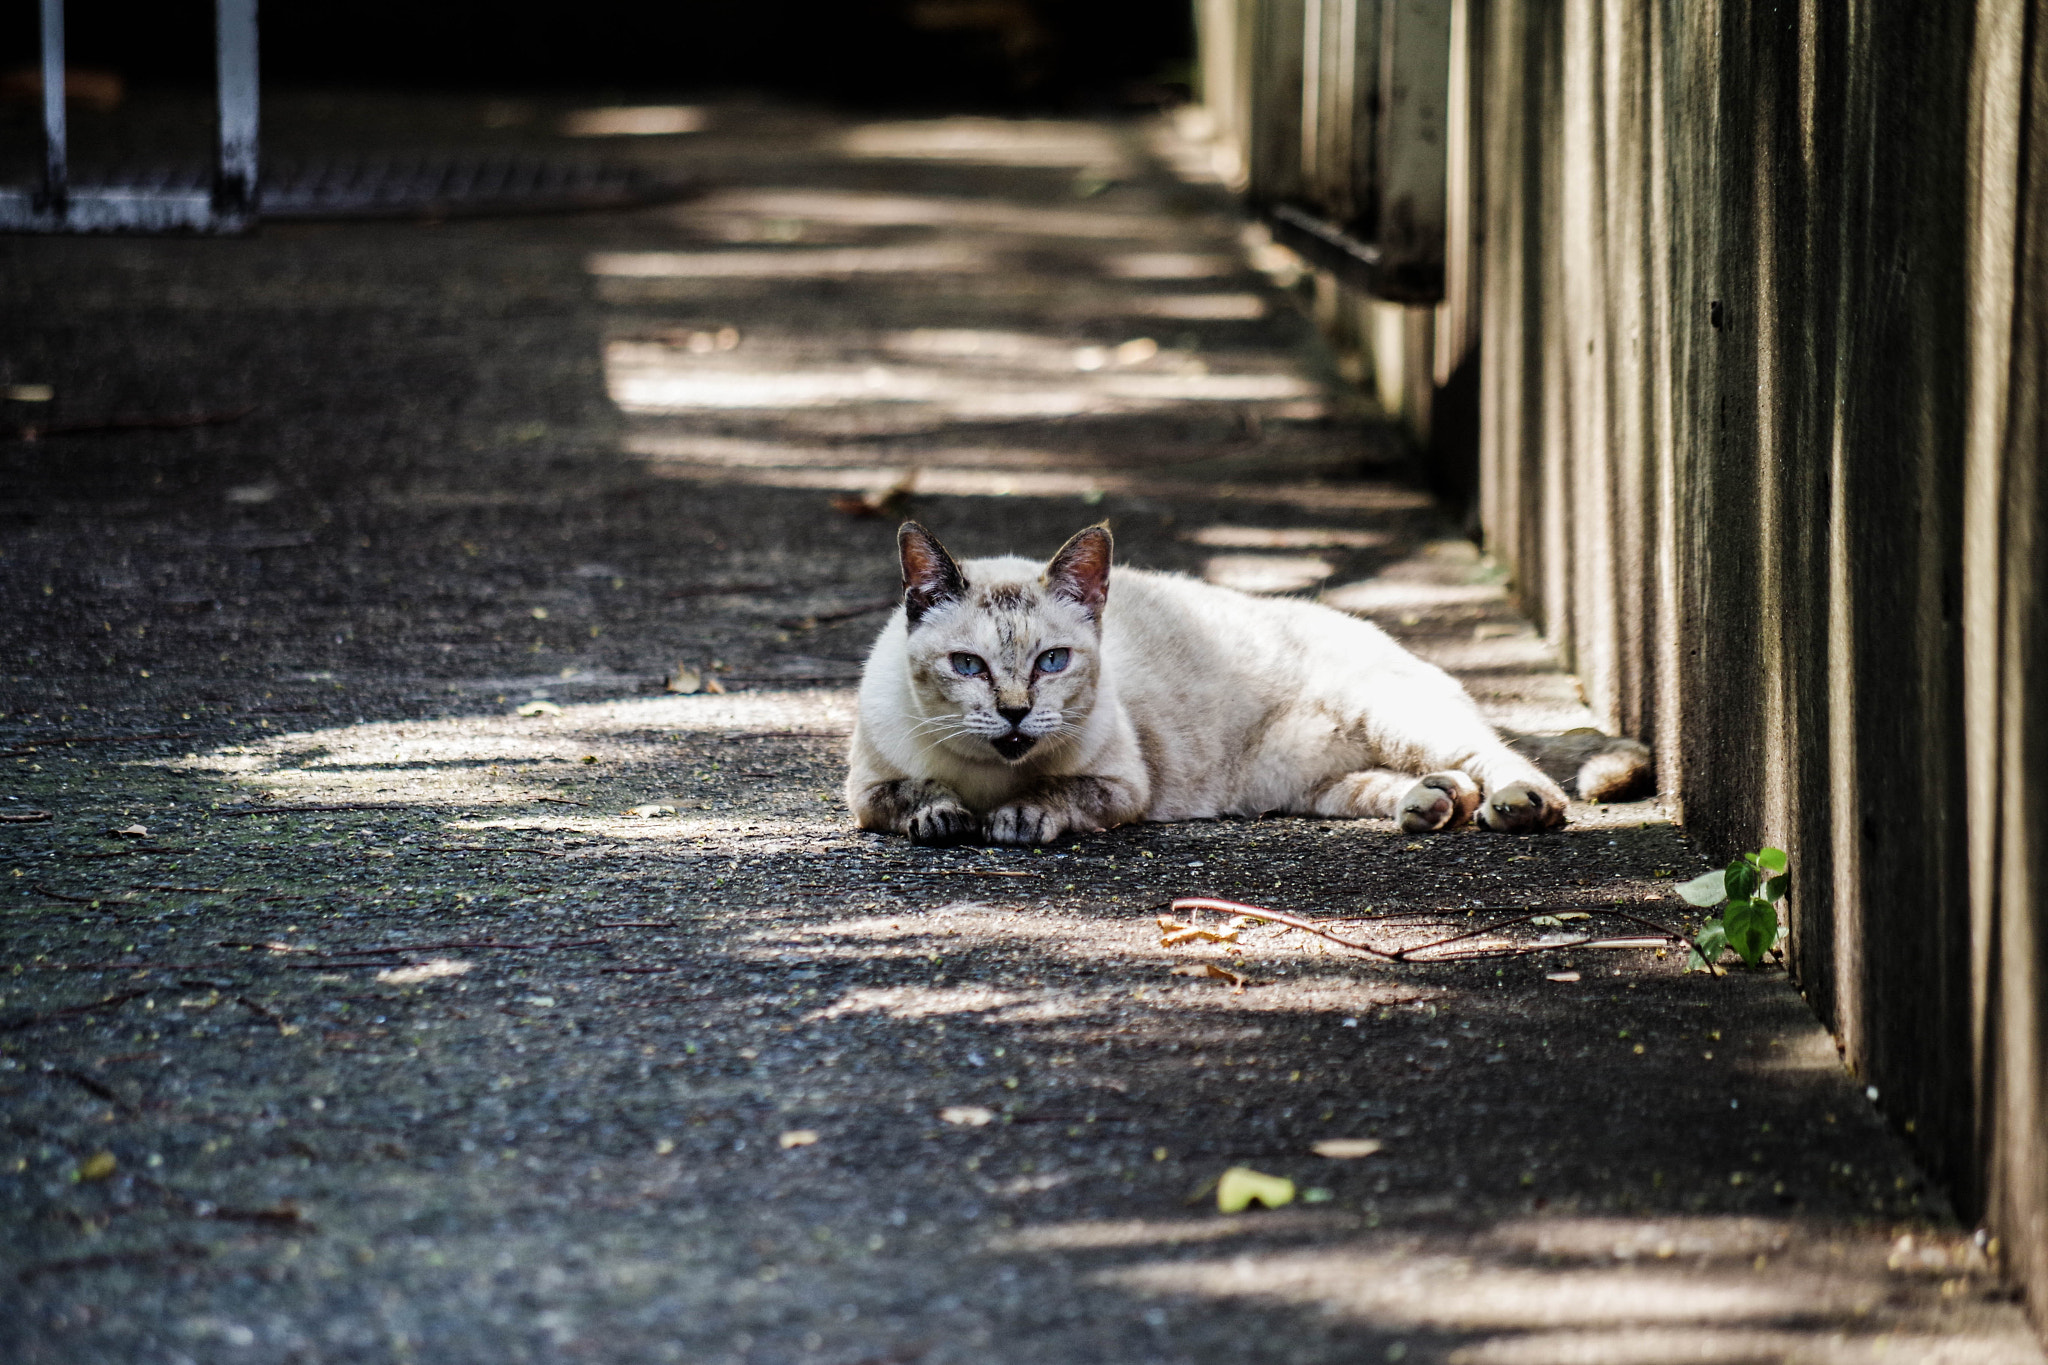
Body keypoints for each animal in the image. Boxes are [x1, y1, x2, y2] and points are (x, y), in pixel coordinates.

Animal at [839, 523, 1654, 843]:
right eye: (967, 666)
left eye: (1052, 662)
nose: (1013, 712)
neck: (988, 776)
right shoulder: (866, 788)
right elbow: (910, 794)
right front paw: (944, 816)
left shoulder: (1121, 784)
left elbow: (1057, 793)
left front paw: (1015, 817)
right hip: (1307, 784)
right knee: (1421, 781)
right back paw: (1434, 807)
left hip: (1392, 714)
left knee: (1499, 757)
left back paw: (1518, 808)